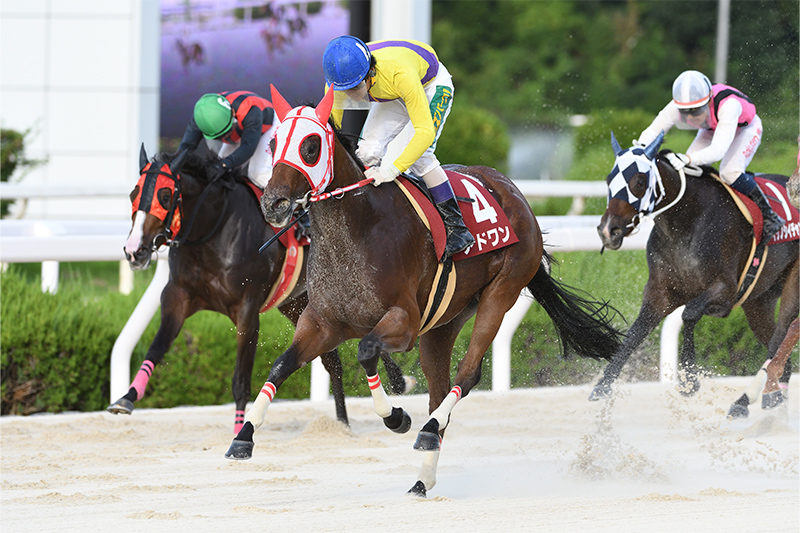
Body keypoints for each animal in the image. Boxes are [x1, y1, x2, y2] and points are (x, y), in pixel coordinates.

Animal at [108, 145, 410, 433]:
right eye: (133, 194)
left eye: (165, 196)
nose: (134, 251)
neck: (214, 230)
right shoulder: (177, 297)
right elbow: (156, 348)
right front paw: (126, 398)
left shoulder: (247, 311)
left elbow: (241, 380)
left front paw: (239, 429)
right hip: (300, 304)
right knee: (334, 361)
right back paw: (342, 424)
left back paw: (395, 382)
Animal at [223, 85, 624, 497]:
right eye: (273, 144)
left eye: (311, 145)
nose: (273, 203)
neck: (358, 229)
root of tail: (515, 193)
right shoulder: (322, 323)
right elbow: (281, 364)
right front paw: (243, 437)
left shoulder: (404, 323)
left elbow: (366, 352)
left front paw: (396, 417)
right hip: (445, 321)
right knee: (440, 388)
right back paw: (423, 477)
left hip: (501, 292)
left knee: (467, 374)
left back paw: (427, 432)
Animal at [594, 132, 799, 416]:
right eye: (608, 179)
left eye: (639, 181)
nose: (608, 231)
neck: (685, 222)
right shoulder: (659, 292)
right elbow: (635, 333)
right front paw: (602, 385)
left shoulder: (725, 292)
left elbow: (689, 314)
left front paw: (689, 381)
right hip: (758, 302)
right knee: (780, 351)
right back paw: (770, 397)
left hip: (791, 288)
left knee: (781, 337)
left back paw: (746, 400)